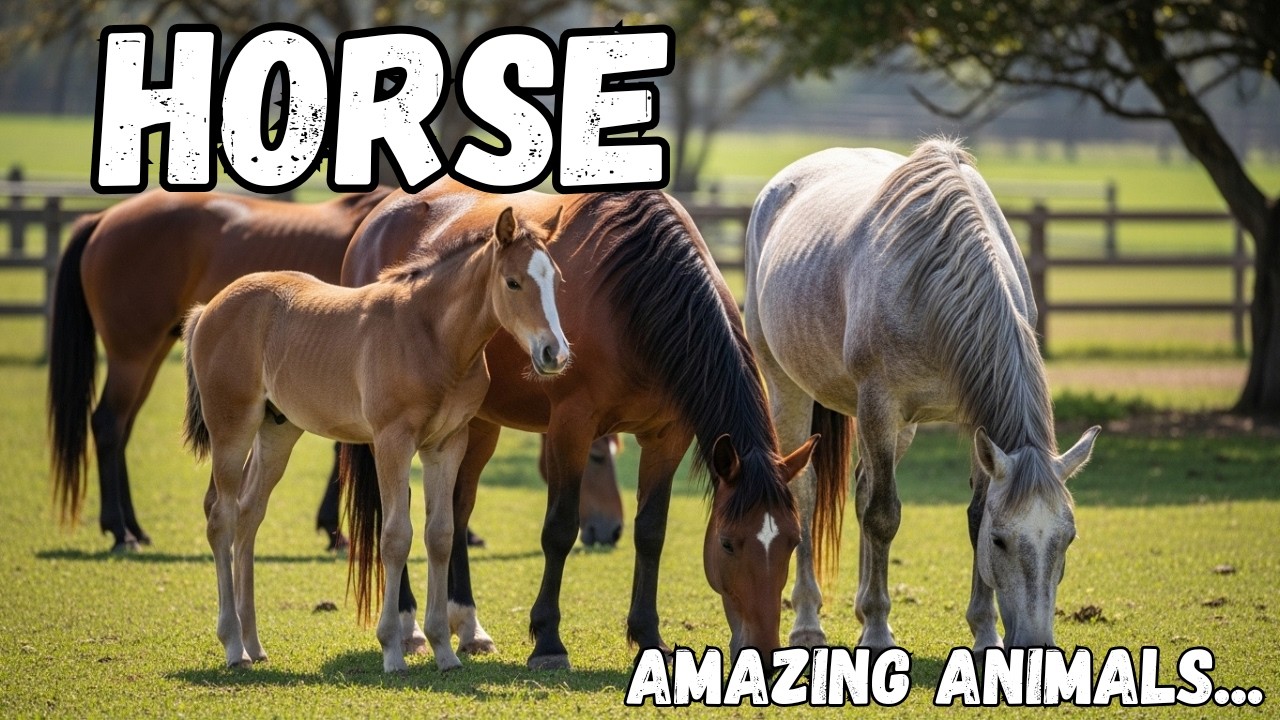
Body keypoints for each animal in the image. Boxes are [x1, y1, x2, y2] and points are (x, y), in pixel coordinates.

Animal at [48, 188, 392, 552]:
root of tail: (103, 218)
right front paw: (333, 529)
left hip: (152, 353)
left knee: (122, 428)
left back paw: (134, 528)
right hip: (132, 356)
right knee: (109, 424)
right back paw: (119, 530)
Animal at [183, 205, 569, 672]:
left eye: (557, 280)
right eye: (513, 282)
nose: (555, 354)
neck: (431, 336)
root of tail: (209, 308)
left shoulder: (447, 445)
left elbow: (440, 535)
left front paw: (444, 651)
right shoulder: (392, 441)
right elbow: (396, 537)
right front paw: (393, 649)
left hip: (277, 430)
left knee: (248, 514)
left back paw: (254, 644)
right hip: (232, 427)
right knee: (221, 516)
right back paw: (233, 646)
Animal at [339, 180, 823, 670]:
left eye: (791, 540)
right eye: (727, 543)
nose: (765, 651)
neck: (634, 295)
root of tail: (378, 217)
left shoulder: (668, 435)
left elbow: (651, 532)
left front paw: (648, 634)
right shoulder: (571, 426)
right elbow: (559, 529)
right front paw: (548, 642)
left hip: (475, 424)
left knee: (456, 511)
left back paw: (470, 628)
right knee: (397, 511)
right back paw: (409, 629)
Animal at [745, 139, 1100, 652]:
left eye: (1067, 539)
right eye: (1001, 541)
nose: (1035, 646)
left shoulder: (973, 421)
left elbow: (970, 513)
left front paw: (984, 633)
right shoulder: (879, 401)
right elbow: (883, 516)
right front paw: (876, 633)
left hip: (900, 427)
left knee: (861, 486)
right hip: (788, 388)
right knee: (805, 490)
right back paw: (808, 621)